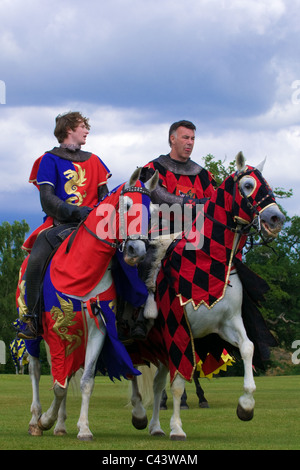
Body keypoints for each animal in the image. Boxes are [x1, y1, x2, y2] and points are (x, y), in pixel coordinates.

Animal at [17, 169, 158, 440]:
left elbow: (86, 380)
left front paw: (82, 428)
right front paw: (45, 420)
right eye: (126, 205)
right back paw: (35, 420)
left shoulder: (98, 328)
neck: (82, 266)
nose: (136, 250)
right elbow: (58, 385)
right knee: (36, 370)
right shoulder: (56, 329)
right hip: (32, 331)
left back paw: (61, 425)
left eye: (152, 212)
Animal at [130, 154, 284, 440]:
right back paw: (138, 413)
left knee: (155, 382)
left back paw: (155, 425)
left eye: (267, 184)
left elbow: (248, 347)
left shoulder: (228, 323)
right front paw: (177, 427)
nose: (276, 219)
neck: (206, 263)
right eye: (248, 185)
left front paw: (246, 405)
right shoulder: (178, 331)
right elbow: (179, 381)